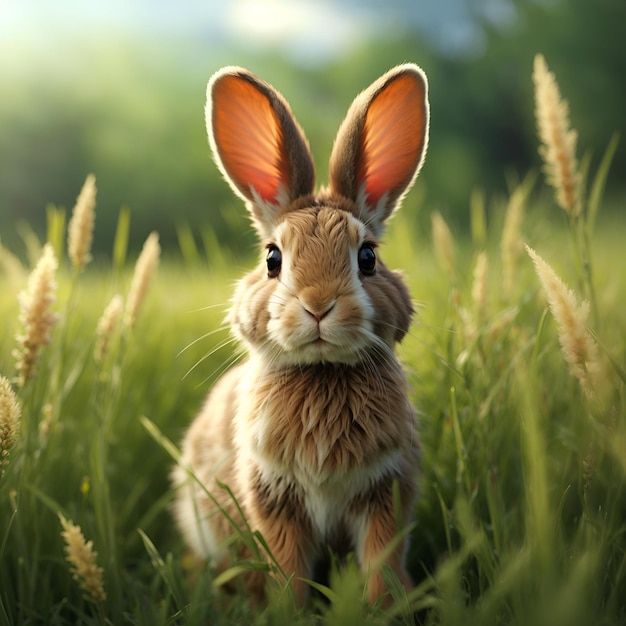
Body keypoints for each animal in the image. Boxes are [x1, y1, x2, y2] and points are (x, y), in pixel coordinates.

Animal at [171, 63, 428, 604]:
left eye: (368, 257)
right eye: (272, 258)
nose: (318, 305)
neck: (323, 372)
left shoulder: (387, 489)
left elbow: (382, 557)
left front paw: (385, 605)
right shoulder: (273, 496)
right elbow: (287, 563)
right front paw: (288, 606)